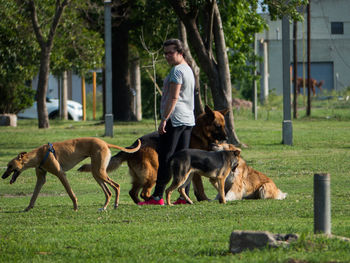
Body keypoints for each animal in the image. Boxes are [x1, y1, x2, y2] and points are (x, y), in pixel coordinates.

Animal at [1, 138, 141, 212]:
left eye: (10, 166)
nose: (2, 177)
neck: (39, 155)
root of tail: (105, 143)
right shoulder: (41, 179)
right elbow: (34, 196)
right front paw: (27, 208)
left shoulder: (61, 174)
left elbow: (70, 193)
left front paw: (75, 207)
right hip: (96, 173)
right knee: (108, 192)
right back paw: (104, 207)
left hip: (100, 172)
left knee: (116, 186)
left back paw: (115, 205)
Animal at [78, 106, 228, 205]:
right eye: (218, 126)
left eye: (224, 125)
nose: (226, 138)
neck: (200, 133)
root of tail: (132, 145)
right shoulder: (195, 172)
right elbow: (199, 186)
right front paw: (203, 199)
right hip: (153, 173)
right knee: (144, 192)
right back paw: (153, 201)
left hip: (141, 176)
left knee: (133, 192)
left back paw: (140, 202)